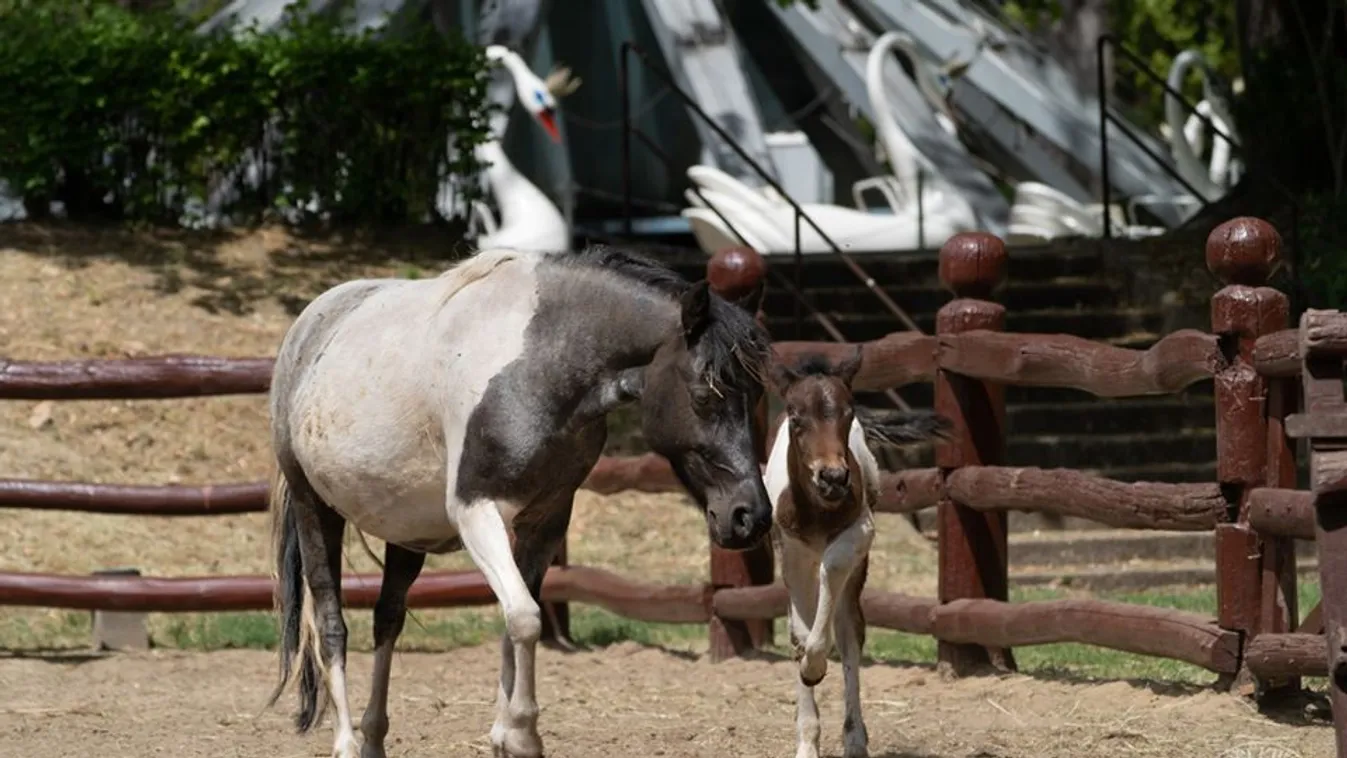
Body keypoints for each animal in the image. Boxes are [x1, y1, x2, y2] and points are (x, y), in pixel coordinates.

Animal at [264, 246, 775, 753]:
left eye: (755, 394)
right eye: (705, 395)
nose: (749, 516)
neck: (543, 366)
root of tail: (306, 329)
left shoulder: (545, 521)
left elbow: (516, 621)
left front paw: (504, 734)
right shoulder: (477, 513)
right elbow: (526, 618)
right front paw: (523, 733)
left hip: (408, 534)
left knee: (387, 619)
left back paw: (373, 740)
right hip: (314, 509)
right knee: (332, 623)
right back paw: (346, 743)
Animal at [770, 350, 948, 758]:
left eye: (848, 412)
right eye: (795, 415)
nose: (833, 477)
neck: (816, 508)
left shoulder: (861, 531)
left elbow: (833, 571)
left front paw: (815, 666)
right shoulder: (790, 550)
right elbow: (798, 632)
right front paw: (807, 737)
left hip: (859, 568)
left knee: (851, 633)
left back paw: (854, 740)